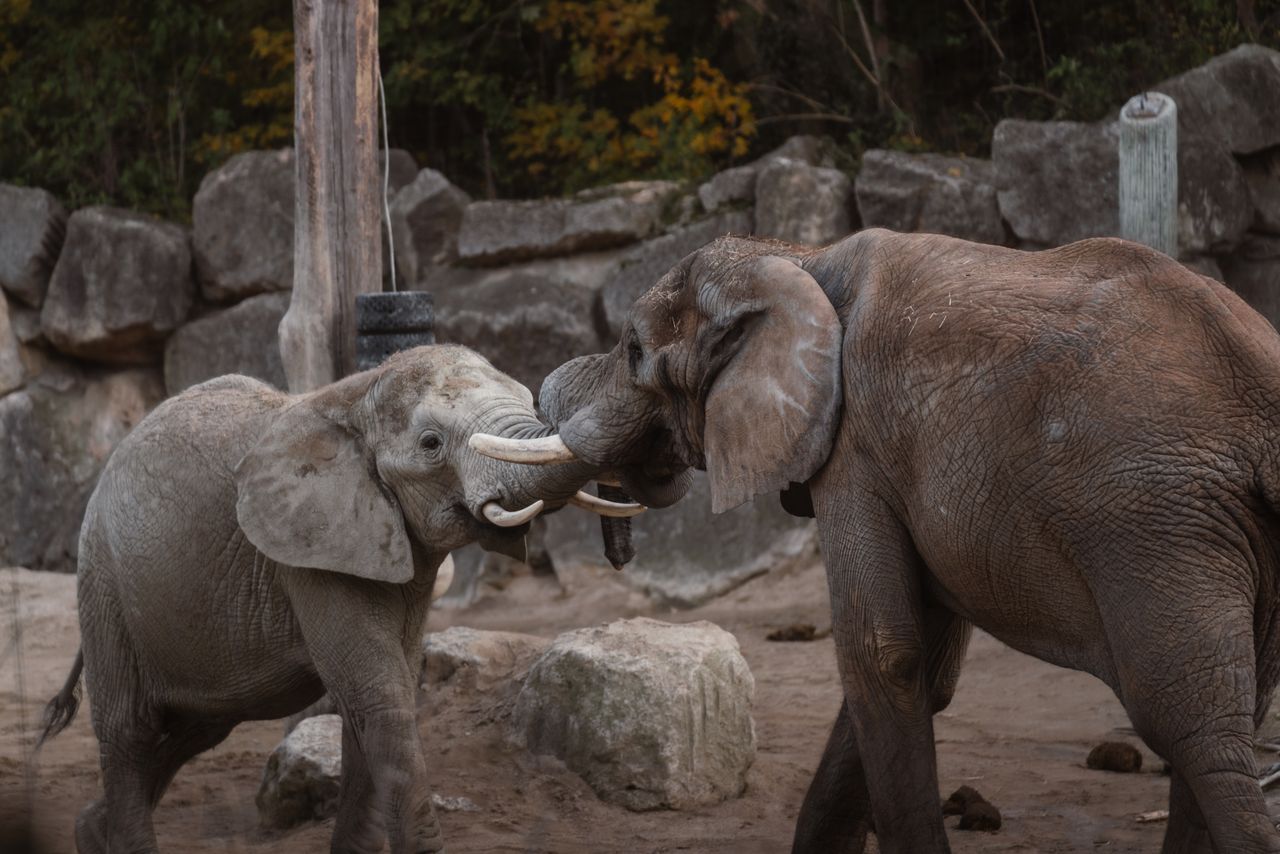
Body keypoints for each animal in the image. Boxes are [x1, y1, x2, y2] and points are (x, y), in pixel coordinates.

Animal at [37, 344, 639, 854]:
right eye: (431, 445)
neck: (356, 394)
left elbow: (375, 699)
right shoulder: (307, 555)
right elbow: (379, 693)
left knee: (200, 727)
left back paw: (91, 832)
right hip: (103, 582)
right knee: (128, 729)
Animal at [472, 229, 1280, 853]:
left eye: (635, 349)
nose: (621, 547)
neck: (797, 259)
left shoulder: (854, 444)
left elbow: (881, 651)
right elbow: (923, 662)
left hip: (1153, 526)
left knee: (1191, 722)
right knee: (1235, 712)